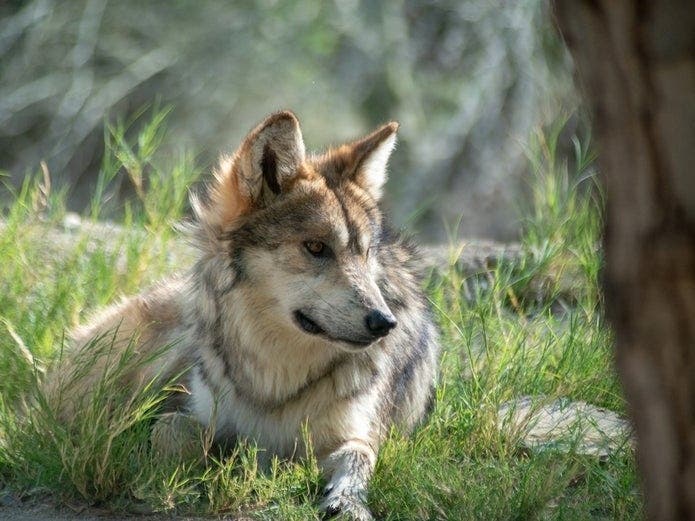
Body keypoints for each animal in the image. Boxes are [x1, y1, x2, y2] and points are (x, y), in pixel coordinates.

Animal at [45, 111, 440, 520]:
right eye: (316, 247)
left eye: (365, 252)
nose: (384, 322)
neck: (273, 380)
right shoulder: (194, 412)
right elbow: (174, 430)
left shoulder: (354, 433)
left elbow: (360, 456)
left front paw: (347, 501)